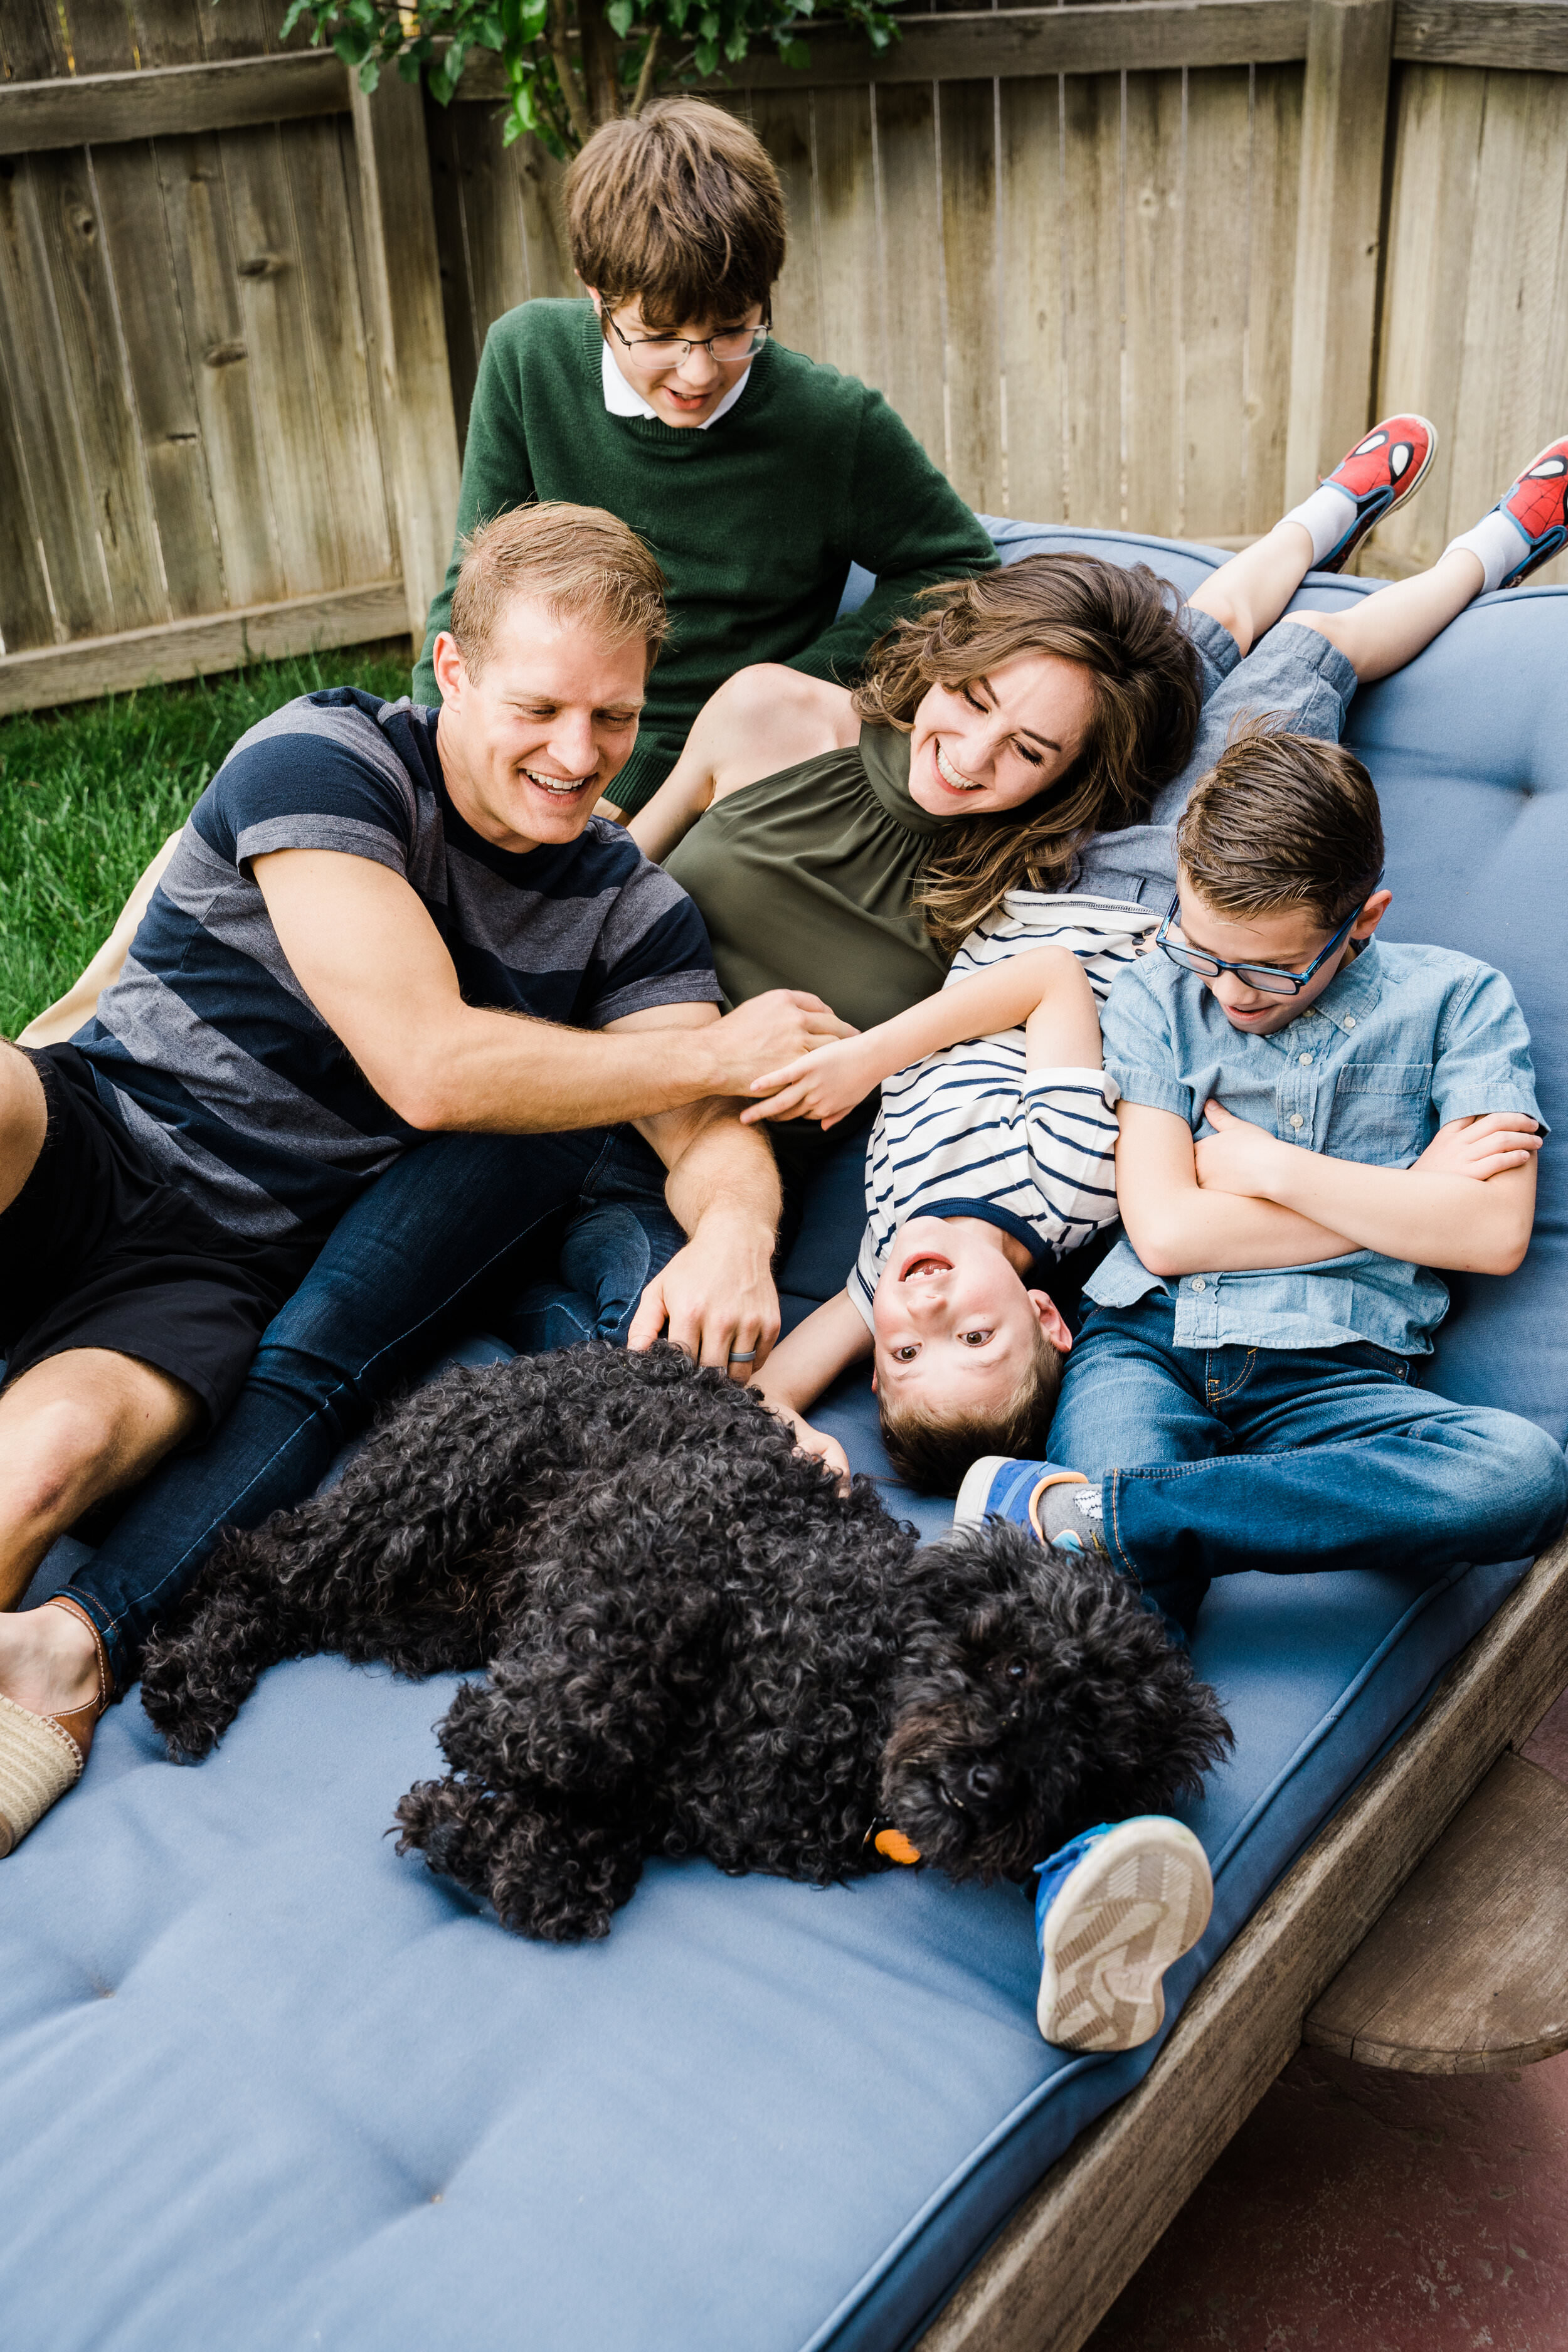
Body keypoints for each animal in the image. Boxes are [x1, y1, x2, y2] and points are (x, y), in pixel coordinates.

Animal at [140, 1345, 1232, 1947]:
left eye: (1087, 1759)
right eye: (1014, 1665)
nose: (986, 1785)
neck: (854, 1697)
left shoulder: (653, 1811)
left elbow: (567, 1880)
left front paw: (462, 1829)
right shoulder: (661, 1528)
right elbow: (585, 1713)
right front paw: (487, 1737)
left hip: (422, 1611)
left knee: (295, 1601)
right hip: (426, 1501)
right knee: (259, 1559)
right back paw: (188, 1682)